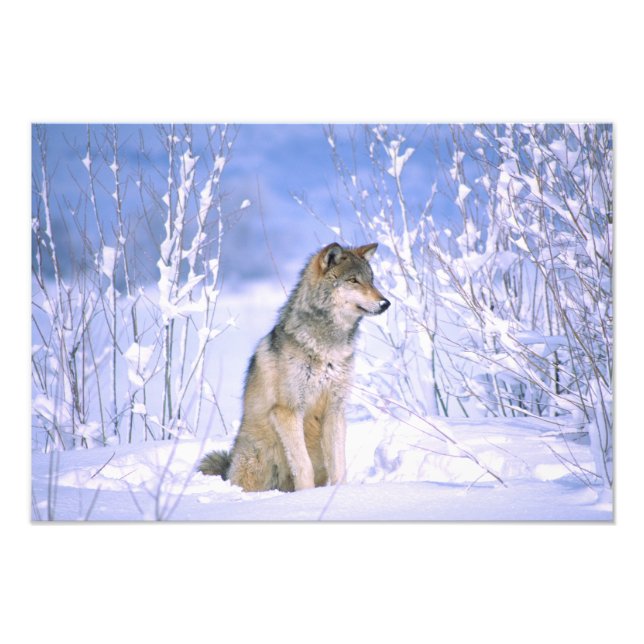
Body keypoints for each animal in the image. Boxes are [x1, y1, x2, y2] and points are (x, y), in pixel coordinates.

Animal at [198, 242, 390, 492]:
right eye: (353, 280)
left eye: (371, 280)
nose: (385, 303)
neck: (327, 348)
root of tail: (227, 468)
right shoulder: (288, 411)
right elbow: (302, 465)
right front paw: (307, 496)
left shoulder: (335, 410)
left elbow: (339, 466)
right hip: (256, 458)